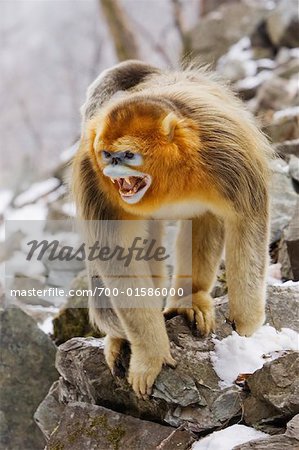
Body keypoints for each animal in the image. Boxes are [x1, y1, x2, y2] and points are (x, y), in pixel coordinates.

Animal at [72, 59, 274, 398]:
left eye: (128, 154)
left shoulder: (228, 153)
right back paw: (120, 336)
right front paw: (150, 356)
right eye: (106, 154)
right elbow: (117, 258)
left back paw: (189, 300)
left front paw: (246, 328)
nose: (111, 167)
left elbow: (247, 220)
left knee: (206, 218)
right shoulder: (92, 175)